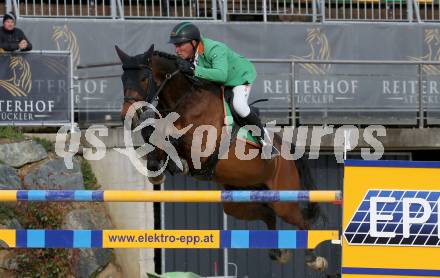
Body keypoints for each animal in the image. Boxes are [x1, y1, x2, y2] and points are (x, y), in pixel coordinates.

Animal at [115, 44, 328, 272]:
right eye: (122, 79)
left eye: (143, 78)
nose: (127, 116)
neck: (186, 99)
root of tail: (287, 150)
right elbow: (155, 132)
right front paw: (156, 167)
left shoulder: (202, 143)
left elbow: (171, 134)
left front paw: (176, 163)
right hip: (237, 200)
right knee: (268, 214)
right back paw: (277, 253)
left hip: (283, 199)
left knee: (301, 221)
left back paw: (314, 259)